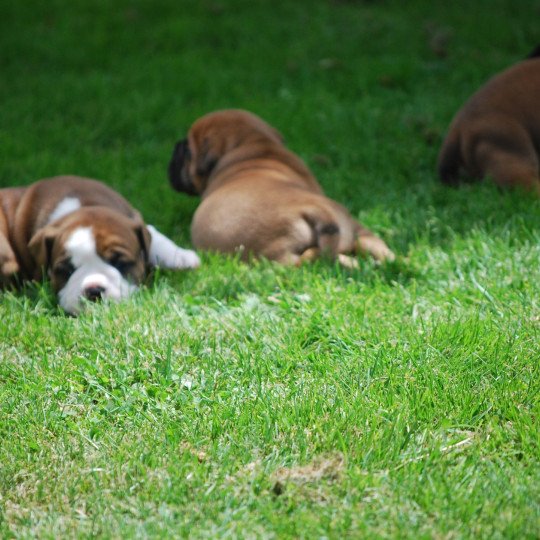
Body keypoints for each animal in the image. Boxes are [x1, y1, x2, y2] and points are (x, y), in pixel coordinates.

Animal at [0, 175, 200, 314]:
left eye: (120, 263)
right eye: (66, 270)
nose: (93, 290)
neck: (84, 207)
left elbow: (152, 234)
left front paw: (181, 257)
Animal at [167, 108, 394, 266]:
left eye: (187, 150)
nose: (176, 145)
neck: (256, 146)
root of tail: (316, 209)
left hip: (276, 254)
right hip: (351, 224)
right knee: (370, 244)